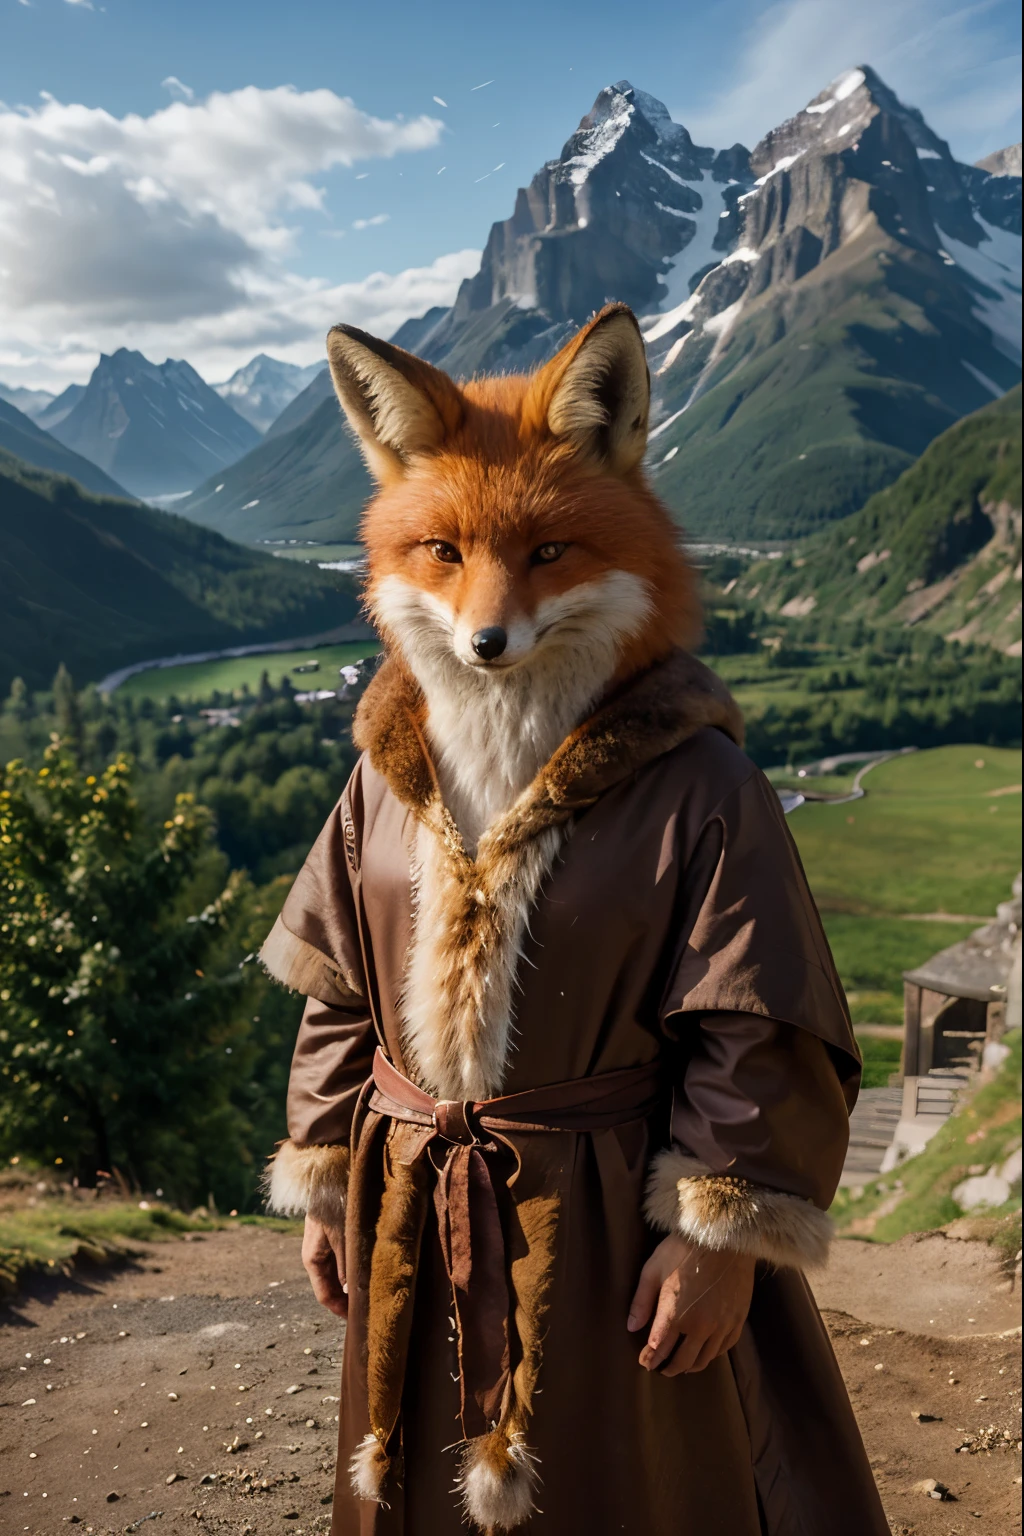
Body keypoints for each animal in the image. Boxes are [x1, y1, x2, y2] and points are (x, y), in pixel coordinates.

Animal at [262, 302, 890, 1536]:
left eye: (549, 553)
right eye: (445, 552)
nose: (485, 645)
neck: (506, 757)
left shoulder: (741, 872)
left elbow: (749, 1049)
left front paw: (698, 1271)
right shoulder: (355, 878)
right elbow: (335, 1016)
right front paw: (318, 1212)